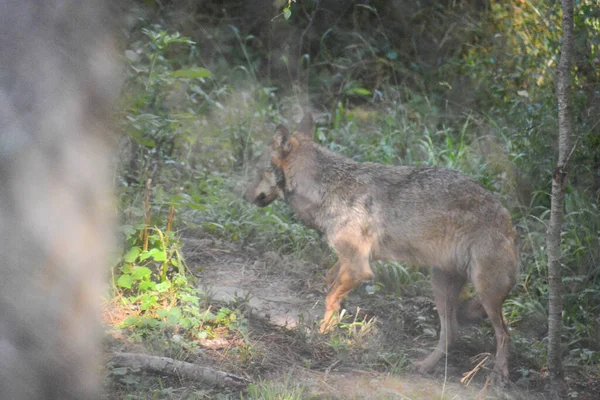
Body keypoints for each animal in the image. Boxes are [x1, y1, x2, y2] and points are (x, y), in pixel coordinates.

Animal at [245, 114, 520, 382]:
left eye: (258, 170)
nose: (245, 196)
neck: (326, 189)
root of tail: (507, 218)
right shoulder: (352, 260)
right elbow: (330, 283)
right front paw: (331, 326)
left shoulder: (359, 267)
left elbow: (330, 298)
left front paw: (322, 335)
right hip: (441, 287)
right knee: (451, 333)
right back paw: (424, 366)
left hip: (484, 292)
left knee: (504, 334)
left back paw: (498, 375)